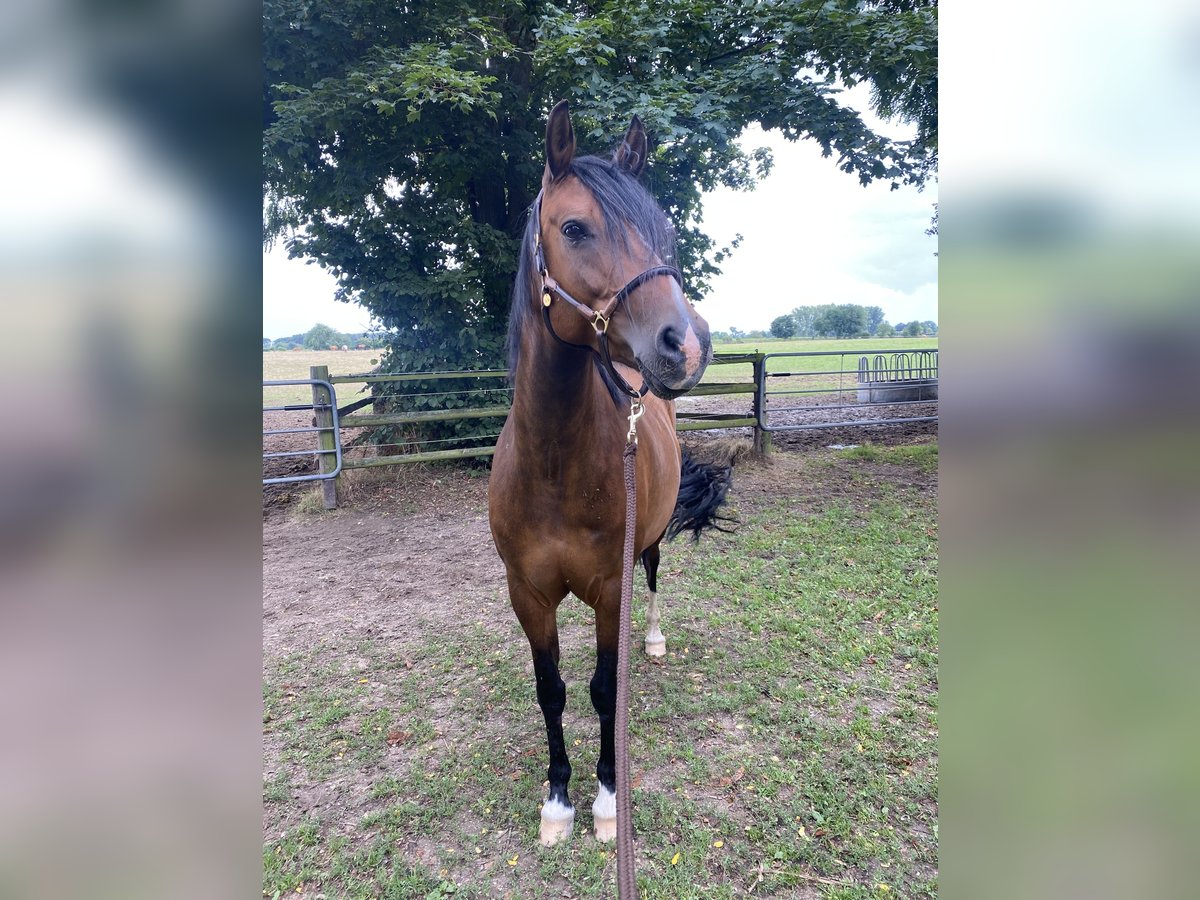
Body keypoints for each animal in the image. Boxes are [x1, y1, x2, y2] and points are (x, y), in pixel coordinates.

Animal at [487, 102, 729, 849]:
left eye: (664, 230)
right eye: (574, 228)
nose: (687, 344)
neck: (554, 465)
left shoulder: (608, 588)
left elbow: (601, 690)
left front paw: (605, 798)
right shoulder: (527, 595)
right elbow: (553, 691)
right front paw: (557, 799)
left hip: (643, 552)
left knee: (653, 581)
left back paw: (649, 642)